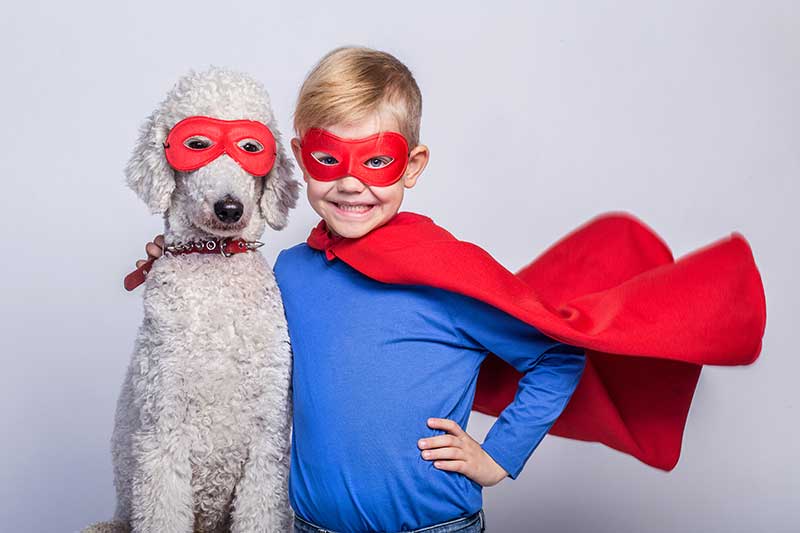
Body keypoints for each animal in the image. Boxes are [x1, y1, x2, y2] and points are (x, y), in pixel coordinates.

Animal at [85, 67, 300, 532]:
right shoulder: (161, 434)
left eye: (251, 148)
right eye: (197, 145)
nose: (229, 208)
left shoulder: (268, 441)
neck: (214, 261)